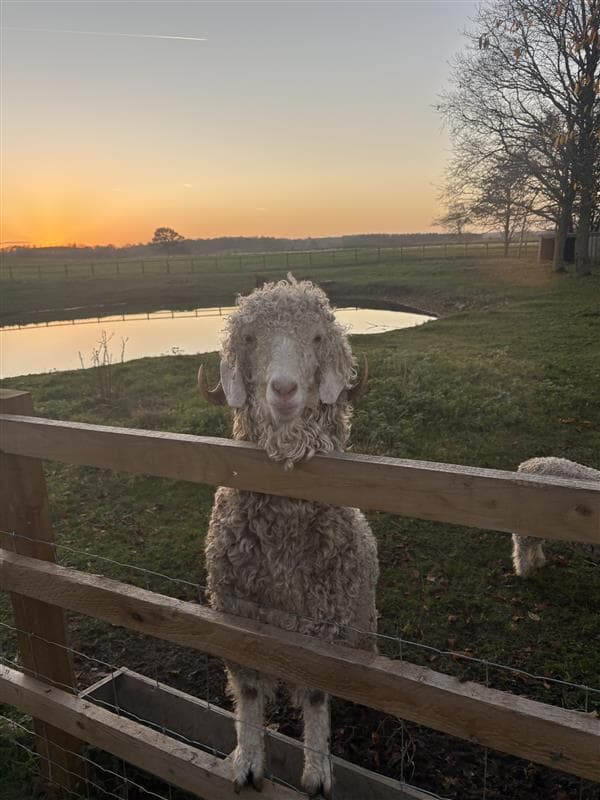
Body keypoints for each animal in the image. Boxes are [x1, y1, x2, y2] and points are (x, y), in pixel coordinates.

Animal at [199, 276, 378, 797]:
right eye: (249, 338)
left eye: (317, 338)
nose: (283, 389)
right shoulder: (234, 609)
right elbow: (248, 691)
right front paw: (247, 761)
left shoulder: (325, 619)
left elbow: (316, 695)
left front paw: (317, 773)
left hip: (363, 619)